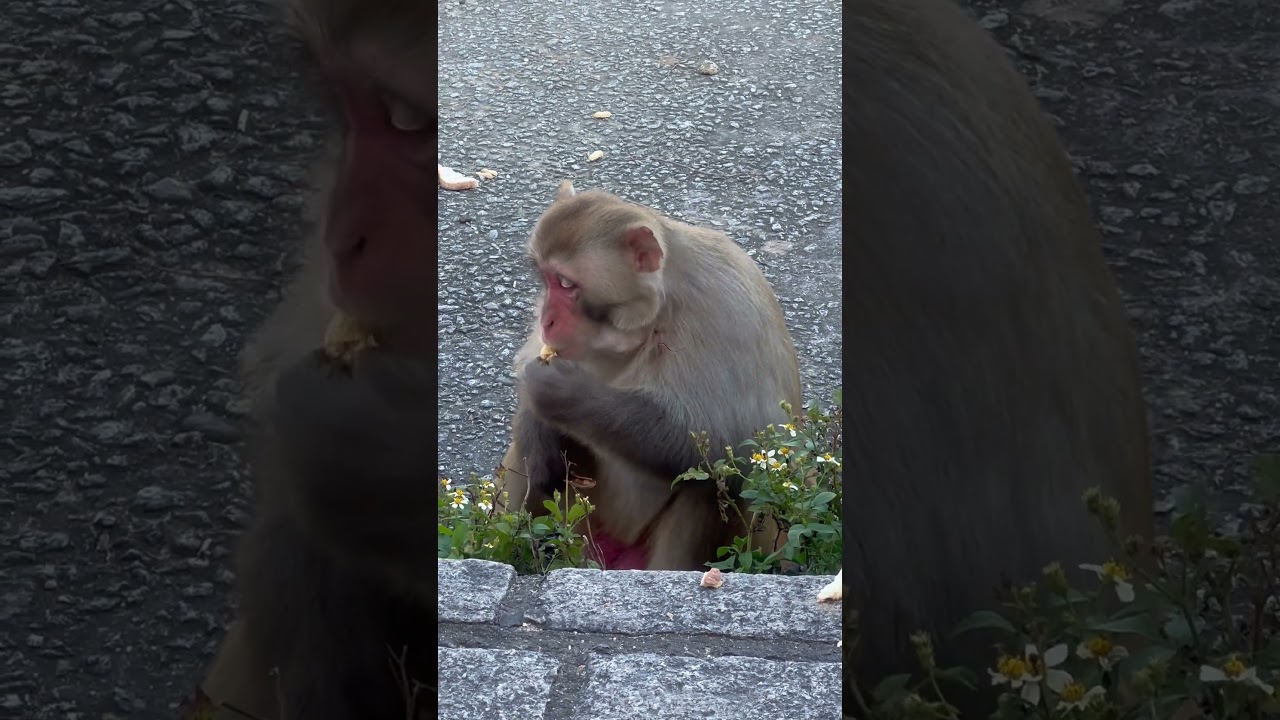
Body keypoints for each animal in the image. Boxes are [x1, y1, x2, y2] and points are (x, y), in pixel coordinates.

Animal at [496, 179, 803, 572]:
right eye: (546, 279)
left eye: (566, 284)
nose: (547, 319)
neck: (652, 316)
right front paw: (537, 430)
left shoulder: (727, 312)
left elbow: (732, 446)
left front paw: (561, 393)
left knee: (706, 481)